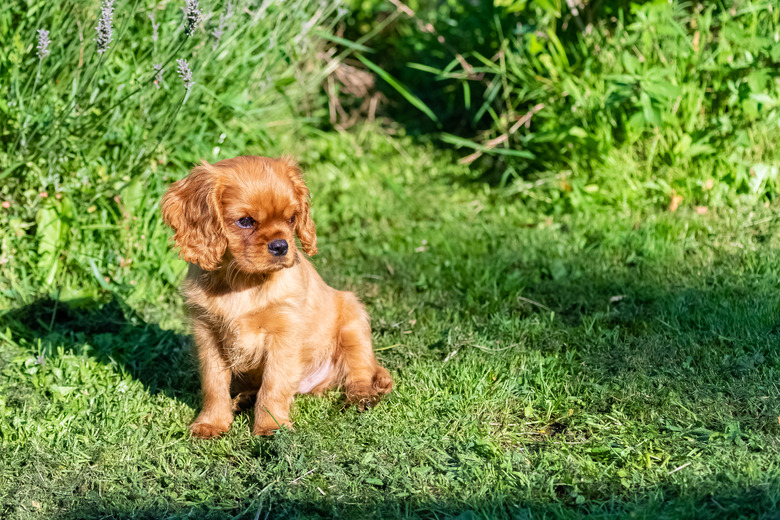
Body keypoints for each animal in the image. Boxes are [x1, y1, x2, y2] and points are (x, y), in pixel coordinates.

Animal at [161, 156, 394, 436]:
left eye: (292, 218)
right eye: (245, 221)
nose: (281, 246)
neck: (242, 281)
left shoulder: (284, 335)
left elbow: (273, 385)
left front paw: (271, 427)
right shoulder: (208, 335)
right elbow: (214, 384)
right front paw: (211, 423)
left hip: (353, 323)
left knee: (360, 372)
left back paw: (362, 398)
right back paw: (243, 399)